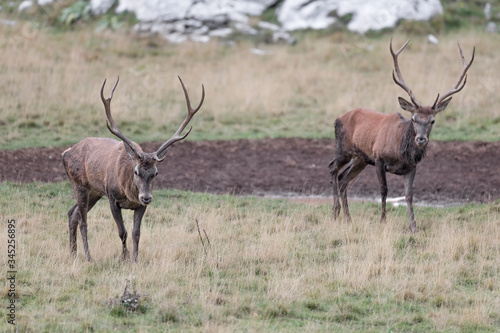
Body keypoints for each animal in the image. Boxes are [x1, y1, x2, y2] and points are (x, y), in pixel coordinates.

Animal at [62, 76, 203, 260]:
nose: (146, 197)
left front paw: (135, 259)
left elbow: (136, 233)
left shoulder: (140, 206)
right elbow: (122, 232)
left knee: (72, 213)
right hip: (79, 184)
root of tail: (66, 153)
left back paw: (72, 253)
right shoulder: (112, 198)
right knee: (83, 221)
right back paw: (88, 256)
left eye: (156, 173)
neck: (128, 192)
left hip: (95, 191)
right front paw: (124, 257)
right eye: (136, 172)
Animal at [330, 39, 474, 231]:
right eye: (413, 118)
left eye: (432, 121)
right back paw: (335, 213)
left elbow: (409, 195)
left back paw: (347, 218)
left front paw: (414, 226)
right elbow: (384, 190)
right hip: (344, 149)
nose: (421, 139)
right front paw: (383, 221)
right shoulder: (378, 158)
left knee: (343, 178)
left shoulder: (412, 167)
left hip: (360, 159)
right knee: (332, 168)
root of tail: (337, 118)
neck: (400, 152)